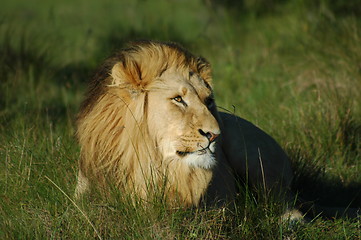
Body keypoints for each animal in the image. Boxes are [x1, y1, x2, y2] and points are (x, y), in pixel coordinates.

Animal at [73, 40, 354, 220]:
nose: (215, 134)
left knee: (286, 205)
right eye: (178, 99)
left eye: (208, 101)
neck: (150, 162)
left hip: (252, 155)